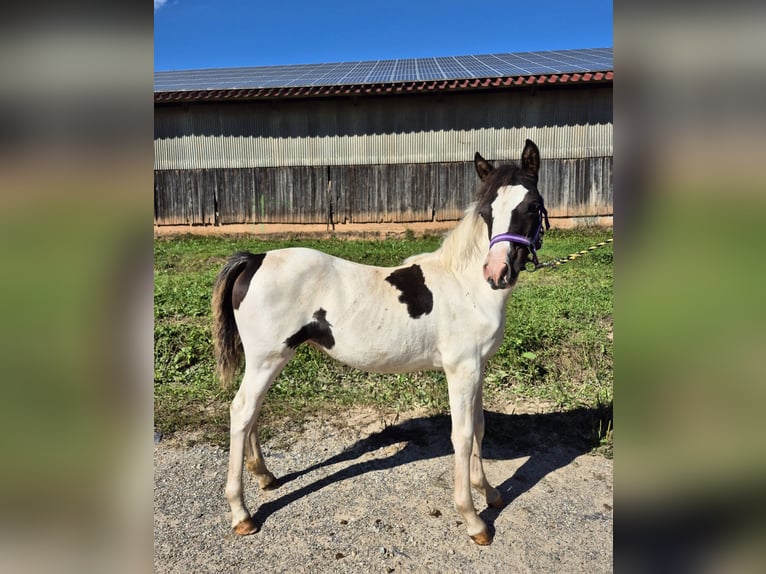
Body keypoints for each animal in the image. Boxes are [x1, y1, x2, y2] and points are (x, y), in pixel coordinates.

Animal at [211, 139, 550, 545]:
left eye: (531, 206)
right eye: (487, 212)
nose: (497, 272)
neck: (466, 285)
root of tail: (254, 259)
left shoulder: (478, 369)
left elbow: (481, 428)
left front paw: (492, 493)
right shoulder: (461, 370)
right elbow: (464, 435)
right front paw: (474, 521)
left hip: (267, 360)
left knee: (252, 412)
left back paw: (265, 477)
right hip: (267, 358)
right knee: (241, 411)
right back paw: (241, 514)